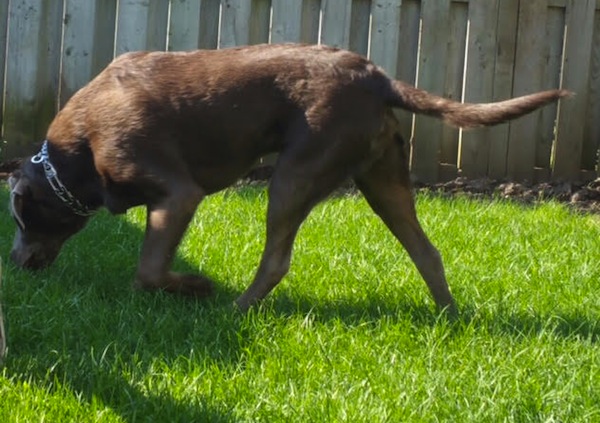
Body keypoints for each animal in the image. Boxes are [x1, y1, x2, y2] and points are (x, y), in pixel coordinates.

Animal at [7, 44, 568, 314]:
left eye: (18, 217)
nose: (12, 263)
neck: (78, 151)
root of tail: (377, 77)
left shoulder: (178, 194)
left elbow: (148, 271)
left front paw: (196, 287)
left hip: (295, 174)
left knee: (277, 259)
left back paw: (234, 308)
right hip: (383, 179)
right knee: (426, 251)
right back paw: (450, 319)